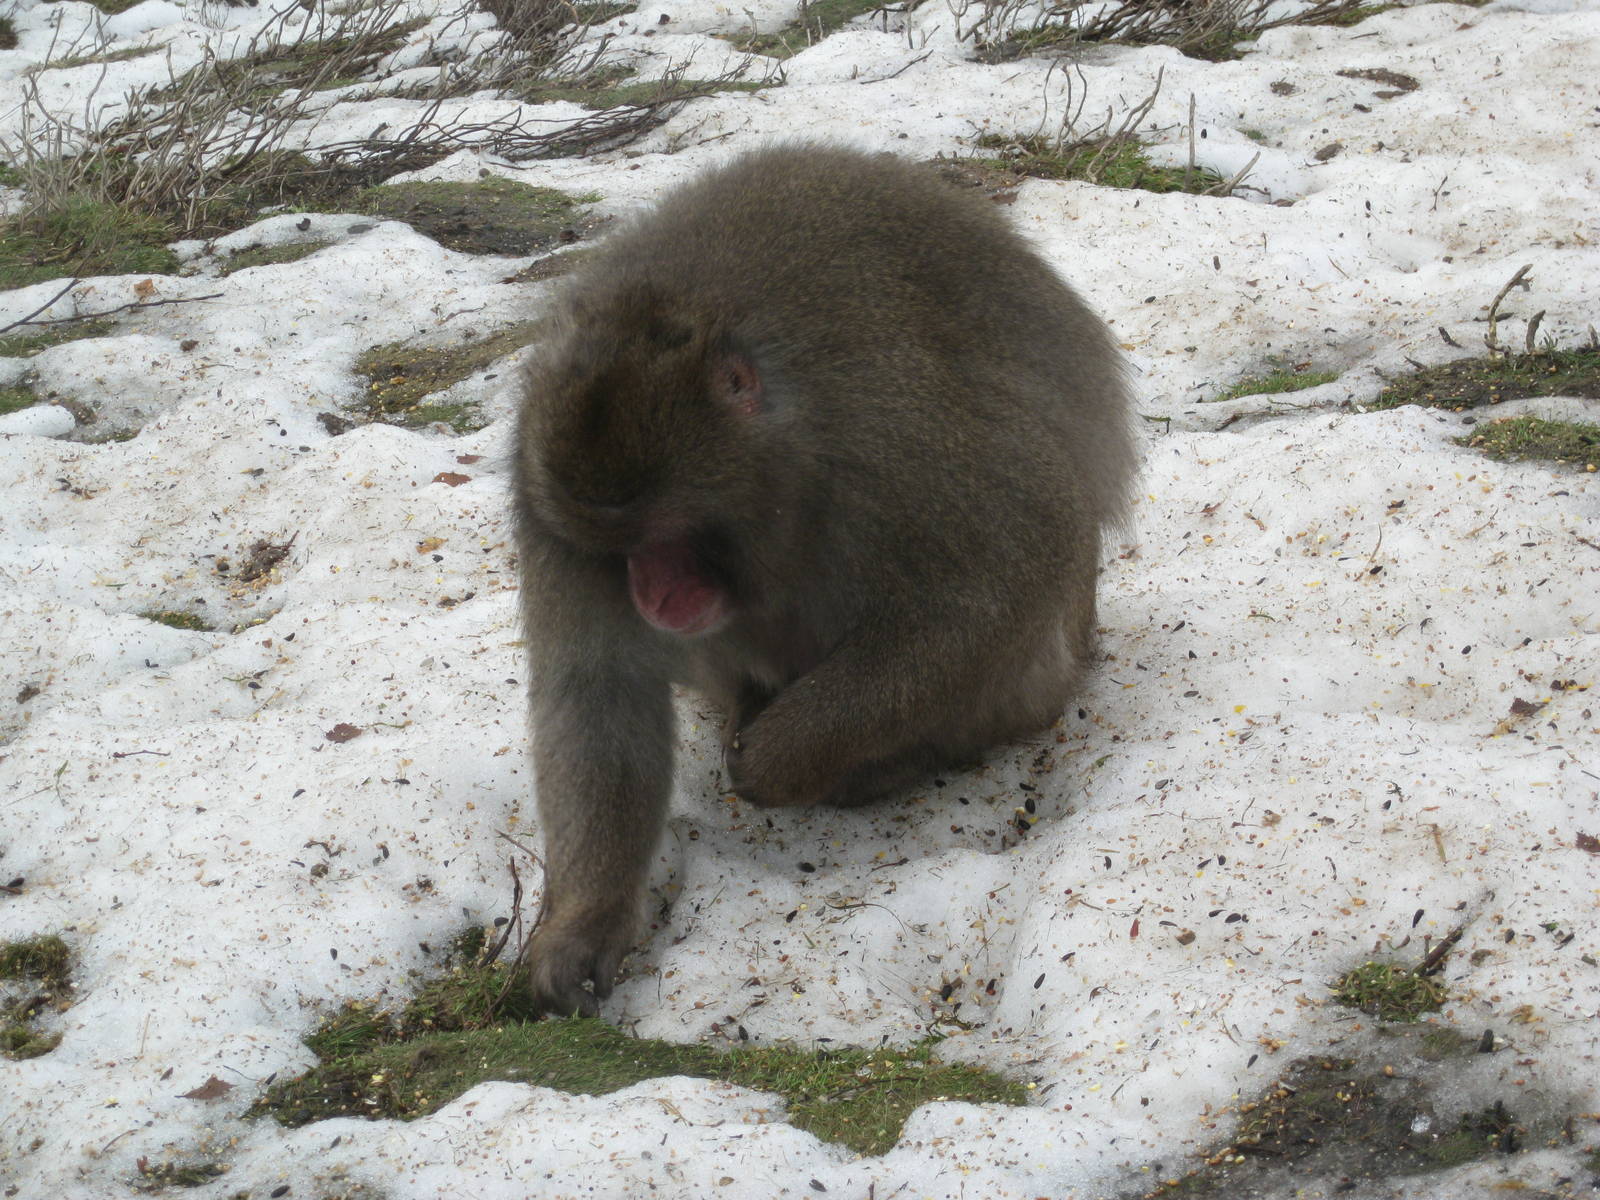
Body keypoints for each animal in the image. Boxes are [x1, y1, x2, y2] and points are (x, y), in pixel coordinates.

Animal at [511, 143, 1137, 1016]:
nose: (652, 595)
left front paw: (781, 759)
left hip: (1048, 668)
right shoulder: (547, 499)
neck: (781, 458)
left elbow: (1002, 576)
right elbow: (597, 691)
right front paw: (582, 925)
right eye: (619, 549)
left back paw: (885, 762)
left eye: (668, 536)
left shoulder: (889, 439)